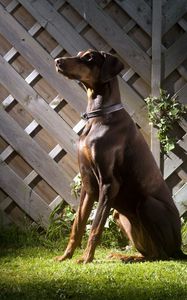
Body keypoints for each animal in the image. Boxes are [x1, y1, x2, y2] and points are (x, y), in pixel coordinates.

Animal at [54, 49, 186, 262]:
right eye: (79, 54)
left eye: (89, 57)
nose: (58, 61)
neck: (98, 116)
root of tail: (179, 248)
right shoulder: (88, 184)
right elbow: (78, 225)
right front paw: (66, 256)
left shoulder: (109, 184)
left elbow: (96, 227)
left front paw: (86, 259)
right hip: (119, 215)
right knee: (150, 253)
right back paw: (123, 256)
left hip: (147, 205)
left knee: (161, 255)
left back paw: (128, 257)